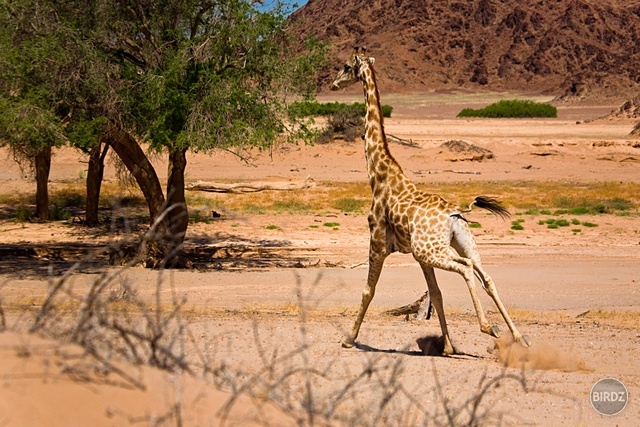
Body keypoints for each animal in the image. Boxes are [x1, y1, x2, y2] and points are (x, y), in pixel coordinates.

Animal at [330, 46, 528, 356]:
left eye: (346, 66)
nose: (333, 83)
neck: (379, 175)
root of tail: (454, 214)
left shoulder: (378, 241)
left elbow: (368, 290)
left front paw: (349, 339)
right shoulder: (414, 255)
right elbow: (435, 293)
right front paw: (447, 346)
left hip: (432, 249)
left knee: (466, 268)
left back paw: (489, 327)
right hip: (459, 243)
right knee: (485, 275)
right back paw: (519, 337)